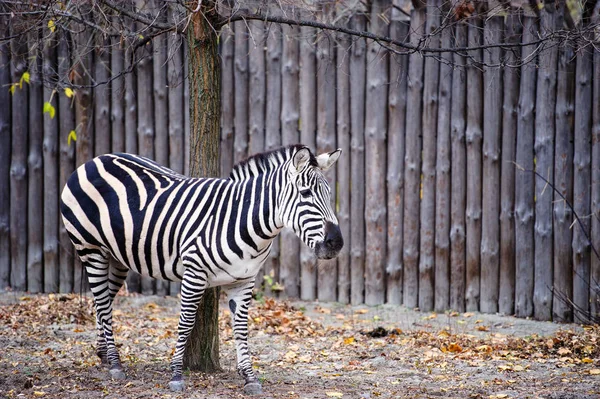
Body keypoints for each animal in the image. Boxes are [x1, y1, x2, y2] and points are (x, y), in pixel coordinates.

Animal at [60, 145, 344, 394]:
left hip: (118, 257)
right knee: (102, 302)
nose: (336, 243)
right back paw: (116, 364)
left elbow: (241, 328)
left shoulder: (244, 280)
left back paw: (105, 355)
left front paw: (249, 377)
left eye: (329, 194)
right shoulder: (194, 273)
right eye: (305, 194)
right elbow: (185, 322)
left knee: (104, 301)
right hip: (90, 248)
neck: (243, 221)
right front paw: (176, 375)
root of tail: (94, 160)